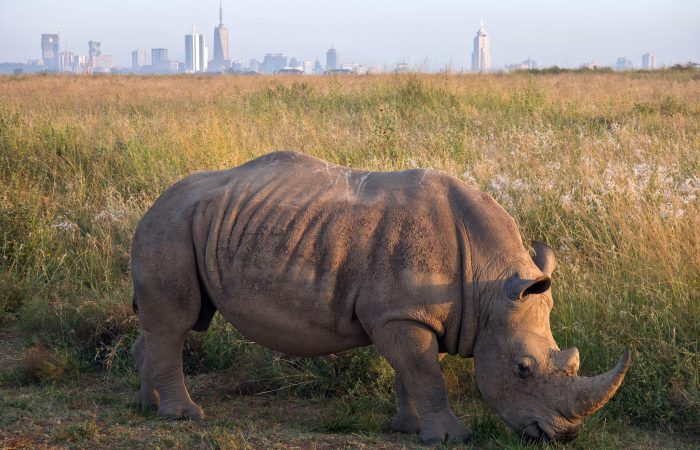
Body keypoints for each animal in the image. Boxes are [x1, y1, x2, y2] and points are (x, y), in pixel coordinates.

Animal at [131, 151, 630, 443]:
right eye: (523, 369)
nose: (562, 435)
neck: (489, 286)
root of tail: (155, 200)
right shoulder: (401, 314)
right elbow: (425, 373)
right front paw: (451, 438)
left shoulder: (421, 313)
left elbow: (416, 371)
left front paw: (408, 428)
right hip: (170, 226)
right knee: (176, 323)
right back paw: (185, 417)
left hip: (184, 224)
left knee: (161, 325)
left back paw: (145, 405)